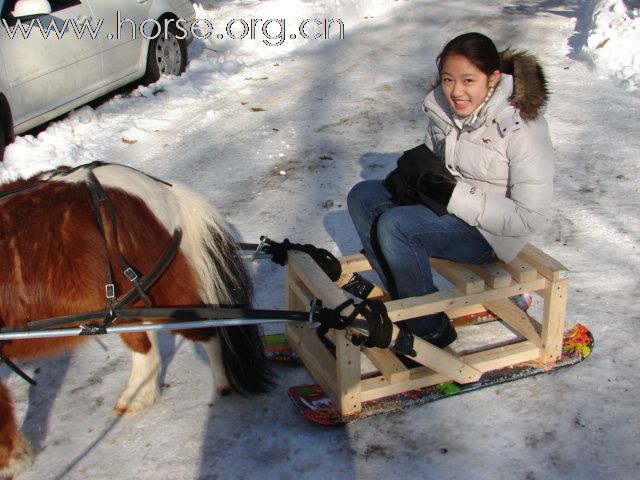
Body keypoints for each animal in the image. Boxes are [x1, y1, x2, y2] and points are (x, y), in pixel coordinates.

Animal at [0, 163, 272, 478]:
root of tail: (162, 191)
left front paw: (11, 460)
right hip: (124, 303)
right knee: (145, 346)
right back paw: (137, 396)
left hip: (167, 297)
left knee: (208, 332)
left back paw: (222, 382)